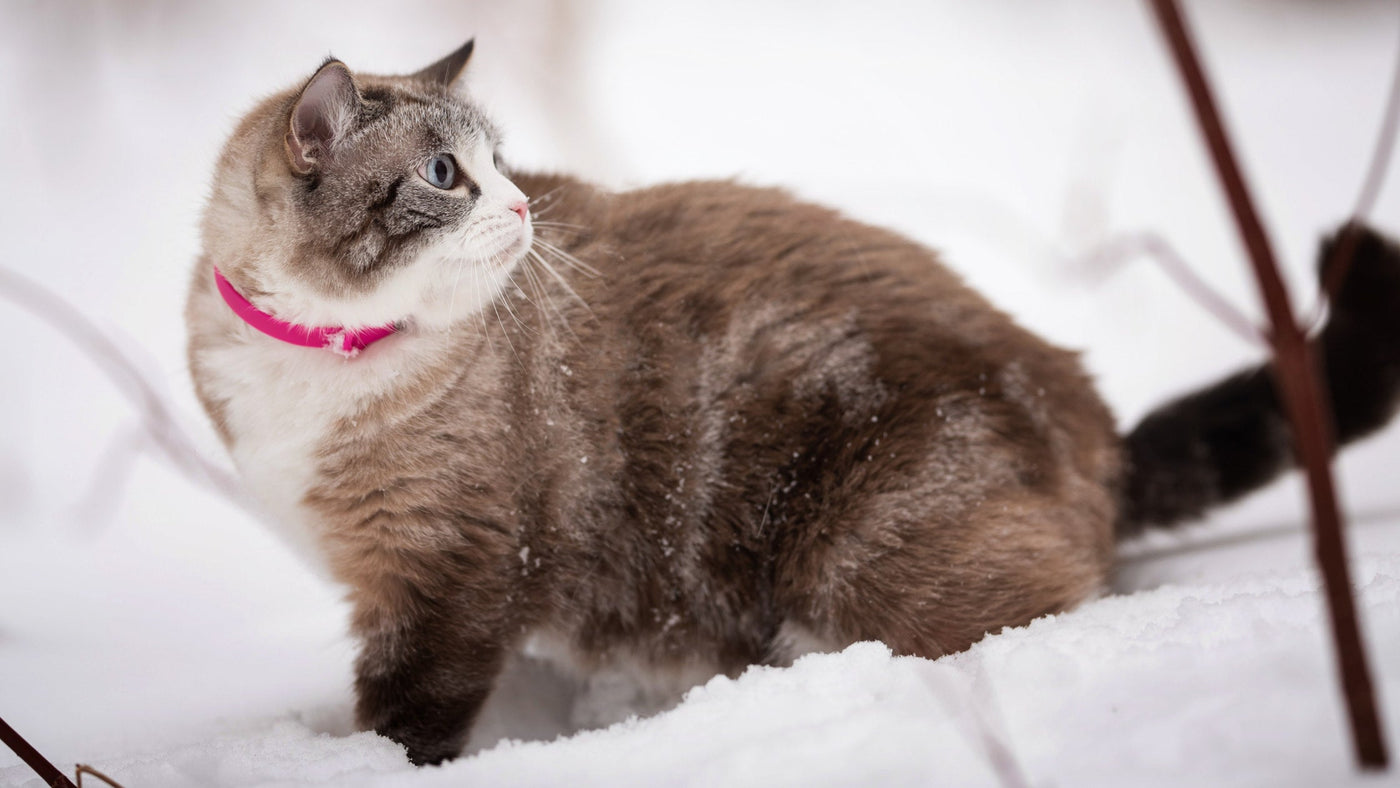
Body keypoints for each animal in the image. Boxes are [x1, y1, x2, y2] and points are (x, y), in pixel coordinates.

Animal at [186, 41, 1400, 767]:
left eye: (501, 162)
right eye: (447, 174)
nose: (524, 207)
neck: (319, 353)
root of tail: (1092, 418)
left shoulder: (445, 579)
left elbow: (404, 722)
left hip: (859, 556)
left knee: (1046, 607)